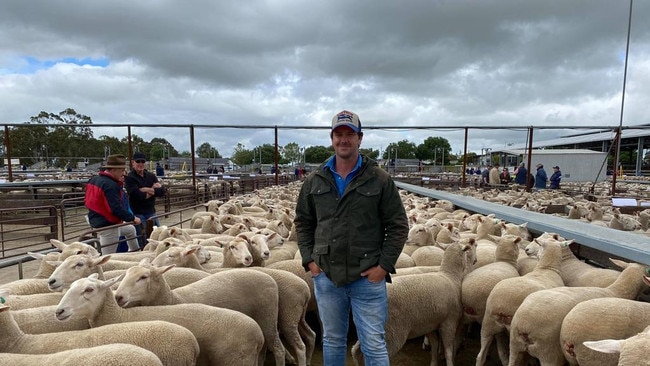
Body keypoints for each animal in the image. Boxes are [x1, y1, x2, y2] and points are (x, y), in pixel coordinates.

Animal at [112, 264, 284, 366]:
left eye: (143, 277)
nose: (118, 297)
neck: (173, 299)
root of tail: (269, 278)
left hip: (268, 316)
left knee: (278, 348)